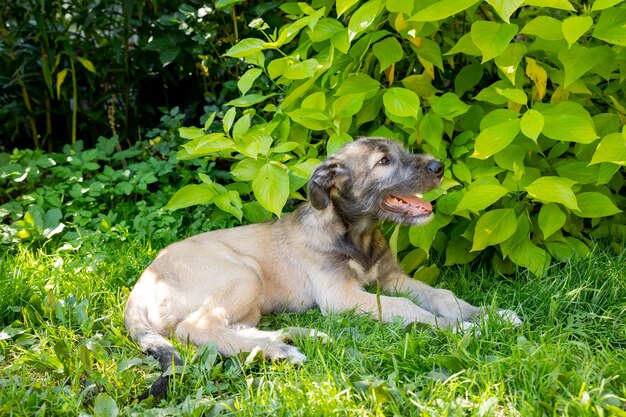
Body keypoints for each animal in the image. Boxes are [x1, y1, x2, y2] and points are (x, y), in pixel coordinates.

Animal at [124, 137, 520, 400]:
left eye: (405, 151)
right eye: (384, 161)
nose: (439, 167)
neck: (356, 237)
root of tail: (142, 284)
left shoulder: (391, 277)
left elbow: (442, 294)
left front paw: (488, 314)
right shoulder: (341, 295)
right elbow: (406, 308)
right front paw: (458, 328)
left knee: (226, 327)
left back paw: (297, 338)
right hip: (241, 274)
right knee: (196, 328)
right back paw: (282, 351)